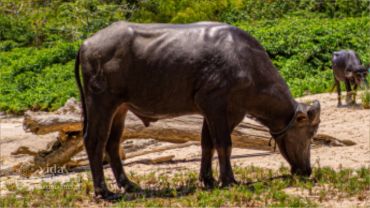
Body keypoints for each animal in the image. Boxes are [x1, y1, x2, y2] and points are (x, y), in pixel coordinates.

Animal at [73, 21, 320, 200]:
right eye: (309, 134)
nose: (307, 170)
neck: (246, 65)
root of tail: (86, 44)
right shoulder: (217, 105)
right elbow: (224, 144)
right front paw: (228, 180)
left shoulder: (217, 111)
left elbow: (207, 144)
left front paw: (207, 180)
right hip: (101, 102)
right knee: (95, 141)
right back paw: (104, 191)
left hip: (120, 108)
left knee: (113, 144)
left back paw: (129, 185)